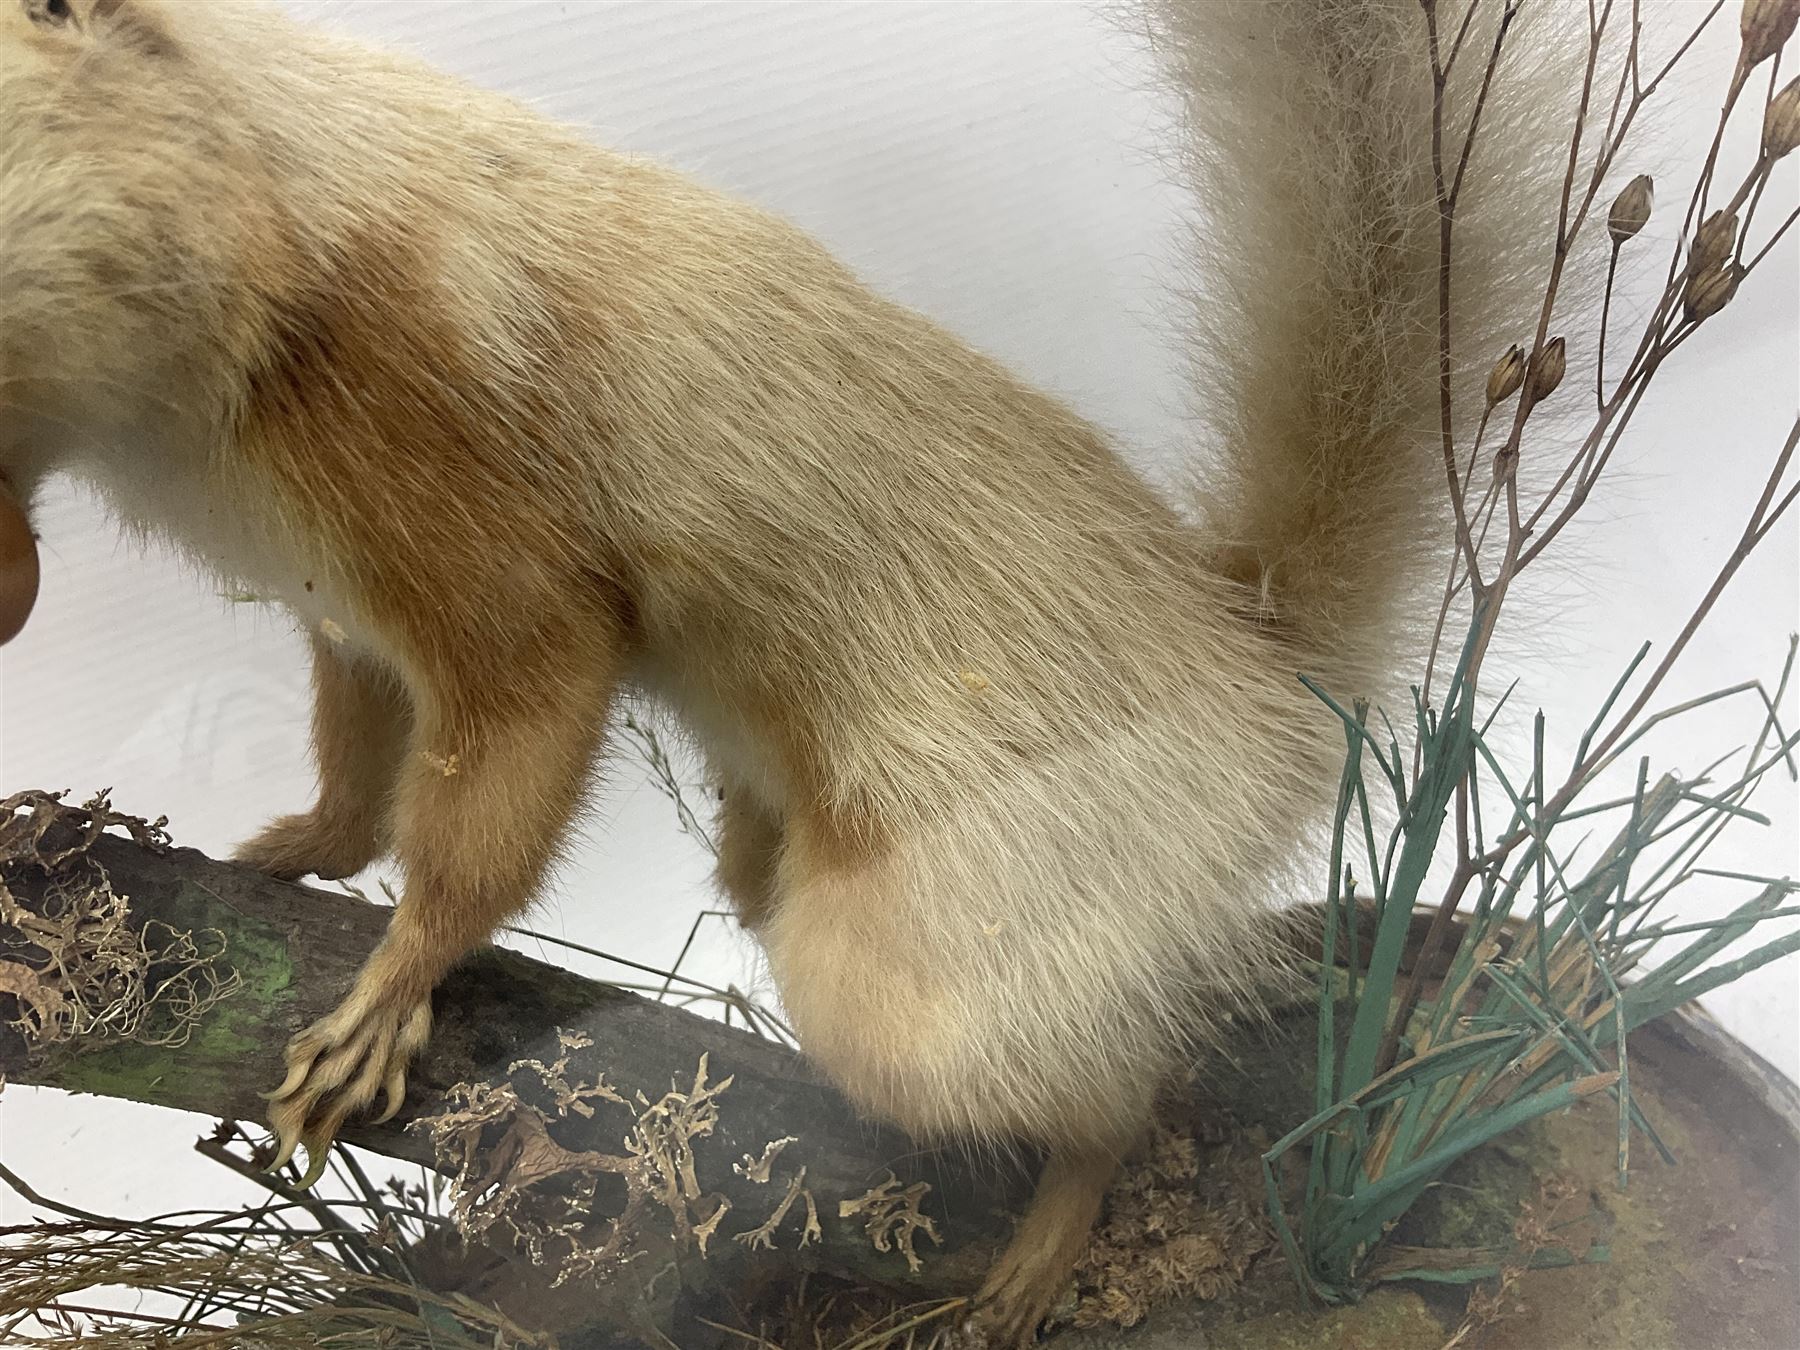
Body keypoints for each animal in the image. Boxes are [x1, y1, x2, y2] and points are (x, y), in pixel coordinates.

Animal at [0, 0, 1584, 1340]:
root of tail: (1262, 673)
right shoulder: (343, 612)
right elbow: (352, 756)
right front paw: (279, 852)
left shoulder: (471, 526)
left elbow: (494, 779)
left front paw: (385, 999)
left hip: (927, 947)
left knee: (1121, 1086)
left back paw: (1042, 1247)